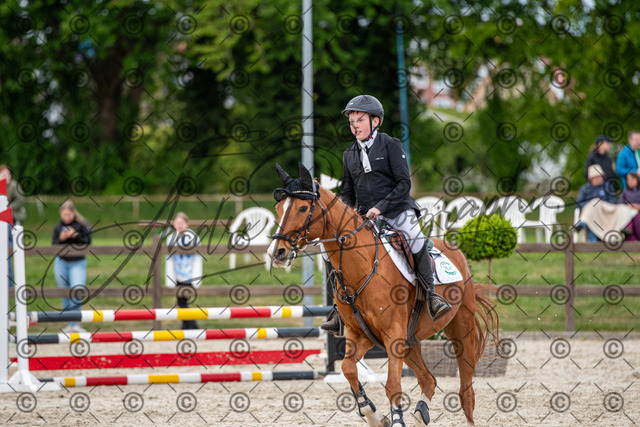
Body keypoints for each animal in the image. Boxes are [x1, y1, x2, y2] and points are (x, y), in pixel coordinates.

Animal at [268, 163, 499, 426]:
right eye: (278, 209)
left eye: (303, 208)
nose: (278, 253)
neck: (363, 267)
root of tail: (456, 251)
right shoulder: (361, 334)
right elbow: (348, 368)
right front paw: (374, 415)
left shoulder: (393, 334)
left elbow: (392, 384)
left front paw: (395, 419)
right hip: (411, 341)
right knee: (428, 380)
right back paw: (420, 414)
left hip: (461, 330)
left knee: (466, 390)